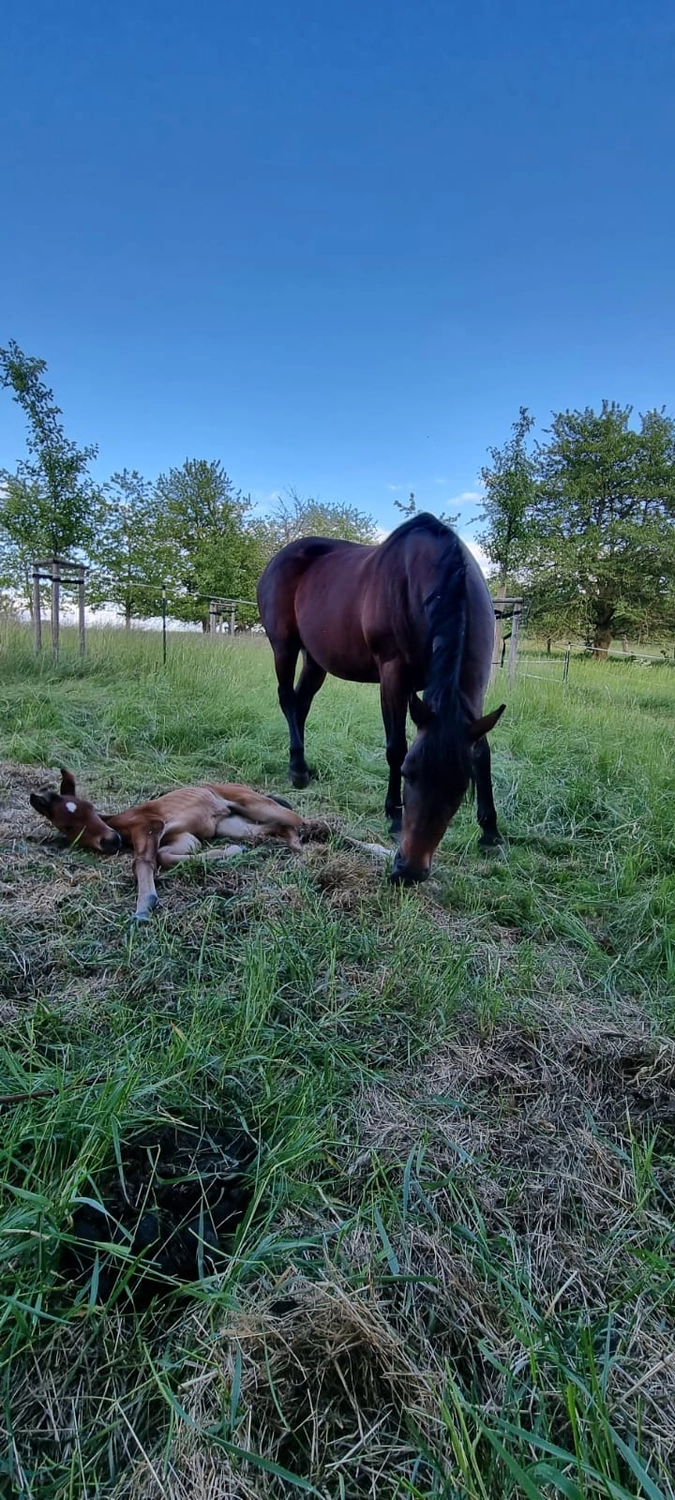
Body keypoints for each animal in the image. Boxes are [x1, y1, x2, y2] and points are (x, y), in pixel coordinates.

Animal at [257, 512, 505, 885]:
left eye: (461, 787)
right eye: (408, 773)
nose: (409, 870)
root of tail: (278, 558)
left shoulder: (474, 690)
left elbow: (482, 752)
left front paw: (490, 831)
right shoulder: (393, 675)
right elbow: (395, 746)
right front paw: (394, 815)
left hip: (316, 660)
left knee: (301, 704)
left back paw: (301, 766)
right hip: (283, 646)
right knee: (287, 699)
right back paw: (298, 769)